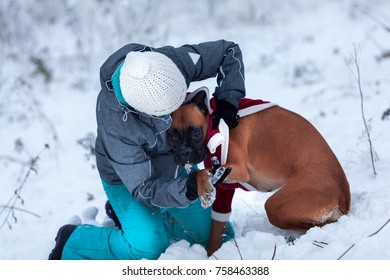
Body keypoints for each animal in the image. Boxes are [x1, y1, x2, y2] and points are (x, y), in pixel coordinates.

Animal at [168, 87, 350, 256]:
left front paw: (203, 190)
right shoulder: (224, 188)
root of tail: (343, 194)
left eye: (196, 132)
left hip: (277, 206)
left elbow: (202, 173)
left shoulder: (237, 169)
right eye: (173, 135)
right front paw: (212, 254)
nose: (184, 152)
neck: (215, 120)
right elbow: (216, 230)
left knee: (320, 224)